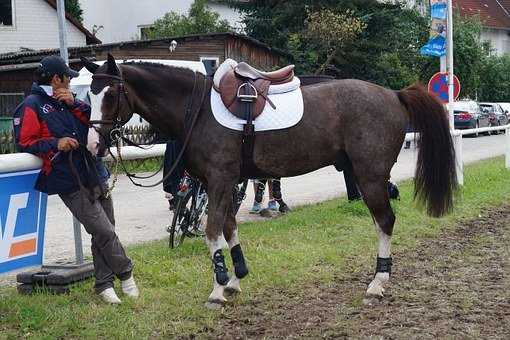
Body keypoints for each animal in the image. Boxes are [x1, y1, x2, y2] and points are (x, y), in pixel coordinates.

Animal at [81, 53, 456, 308]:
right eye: (88, 97)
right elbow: (229, 229)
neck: (197, 110)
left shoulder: (219, 180)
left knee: (385, 221)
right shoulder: (225, 184)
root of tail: (393, 95)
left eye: (110, 95)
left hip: (370, 177)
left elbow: (212, 232)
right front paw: (234, 279)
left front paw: (217, 289)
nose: (92, 145)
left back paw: (378, 282)